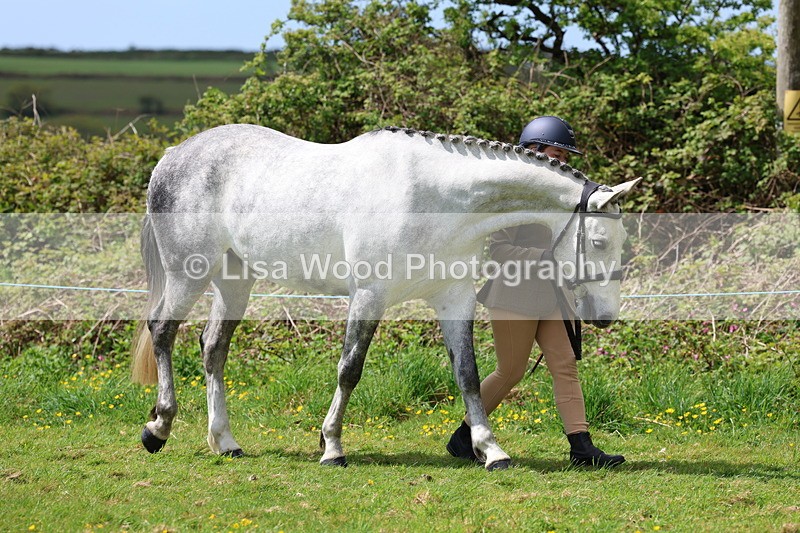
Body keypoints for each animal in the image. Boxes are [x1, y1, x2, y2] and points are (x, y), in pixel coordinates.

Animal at [131, 124, 640, 471]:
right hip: (188, 273)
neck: (438, 199)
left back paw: (226, 442)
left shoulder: (454, 299)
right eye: (599, 242)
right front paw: (332, 446)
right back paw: (158, 428)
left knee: (213, 348)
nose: (604, 317)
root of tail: (176, 154)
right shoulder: (369, 297)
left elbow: (470, 375)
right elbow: (350, 369)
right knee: (164, 332)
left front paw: (490, 449)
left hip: (234, 281)